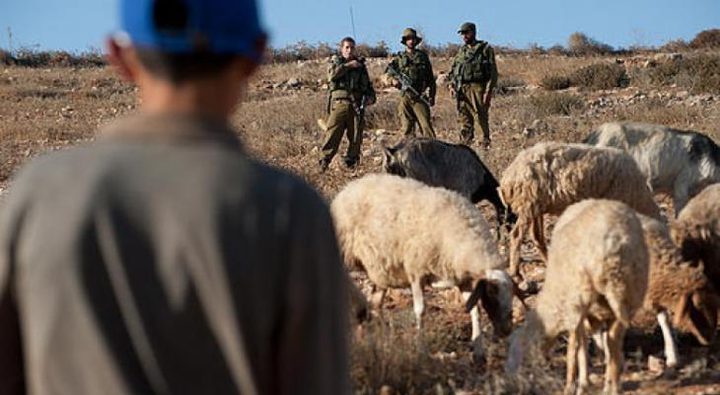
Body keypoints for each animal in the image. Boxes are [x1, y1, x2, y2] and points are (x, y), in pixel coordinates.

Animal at [330, 175, 516, 358]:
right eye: (492, 294)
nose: (506, 331)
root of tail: (352, 185)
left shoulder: (463, 280)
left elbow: (474, 310)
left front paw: (478, 350)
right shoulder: (416, 272)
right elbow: (421, 311)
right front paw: (421, 349)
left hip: (381, 270)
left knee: (374, 303)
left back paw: (375, 341)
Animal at [498, 143, 660, 278]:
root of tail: (507, 177)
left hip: (536, 206)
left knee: (537, 236)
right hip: (527, 204)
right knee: (517, 235)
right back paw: (515, 272)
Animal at [504, 201, 648, 395]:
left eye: (518, 352)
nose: (510, 383)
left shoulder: (573, 309)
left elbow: (575, 348)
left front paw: (574, 384)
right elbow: (591, 342)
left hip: (585, 295)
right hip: (630, 293)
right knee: (614, 339)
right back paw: (611, 385)